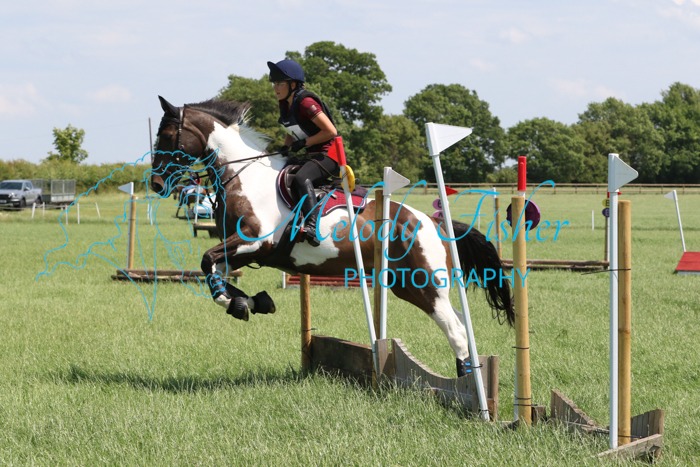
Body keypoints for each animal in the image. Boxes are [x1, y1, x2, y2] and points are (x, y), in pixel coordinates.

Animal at [150, 96, 514, 378]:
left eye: (166, 135)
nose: (155, 183)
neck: (243, 176)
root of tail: (434, 224)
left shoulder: (256, 243)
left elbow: (207, 262)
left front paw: (244, 305)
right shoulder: (242, 251)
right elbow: (215, 277)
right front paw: (250, 303)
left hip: (426, 284)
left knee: (456, 330)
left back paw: (468, 389)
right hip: (405, 284)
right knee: (459, 326)